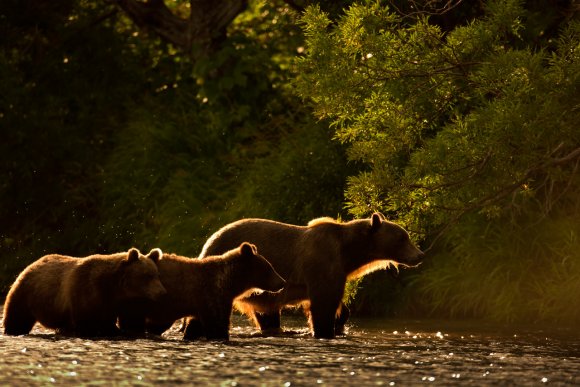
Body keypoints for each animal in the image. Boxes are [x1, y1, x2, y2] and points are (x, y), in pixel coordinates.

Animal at [2, 249, 165, 336]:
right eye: (147, 276)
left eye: (157, 274)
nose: (162, 292)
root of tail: (32, 264)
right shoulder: (88, 290)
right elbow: (90, 321)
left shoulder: (128, 302)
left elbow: (132, 320)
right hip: (26, 293)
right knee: (18, 316)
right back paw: (13, 330)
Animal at [119, 244, 286, 342]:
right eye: (269, 268)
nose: (282, 282)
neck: (230, 282)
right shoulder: (213, 294)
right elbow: (217, 324)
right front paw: (221, 336)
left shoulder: (202, 303)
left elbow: (196, 325)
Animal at [199, 212, 426, 340]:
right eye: (402, 238)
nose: (420, 255)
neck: (348, 253)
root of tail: (207, 242)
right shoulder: (323, 263)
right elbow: (323, 304)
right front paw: (325, 330)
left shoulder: (338, 271)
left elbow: (338, 304)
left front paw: (340, 321)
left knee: (267, 313)